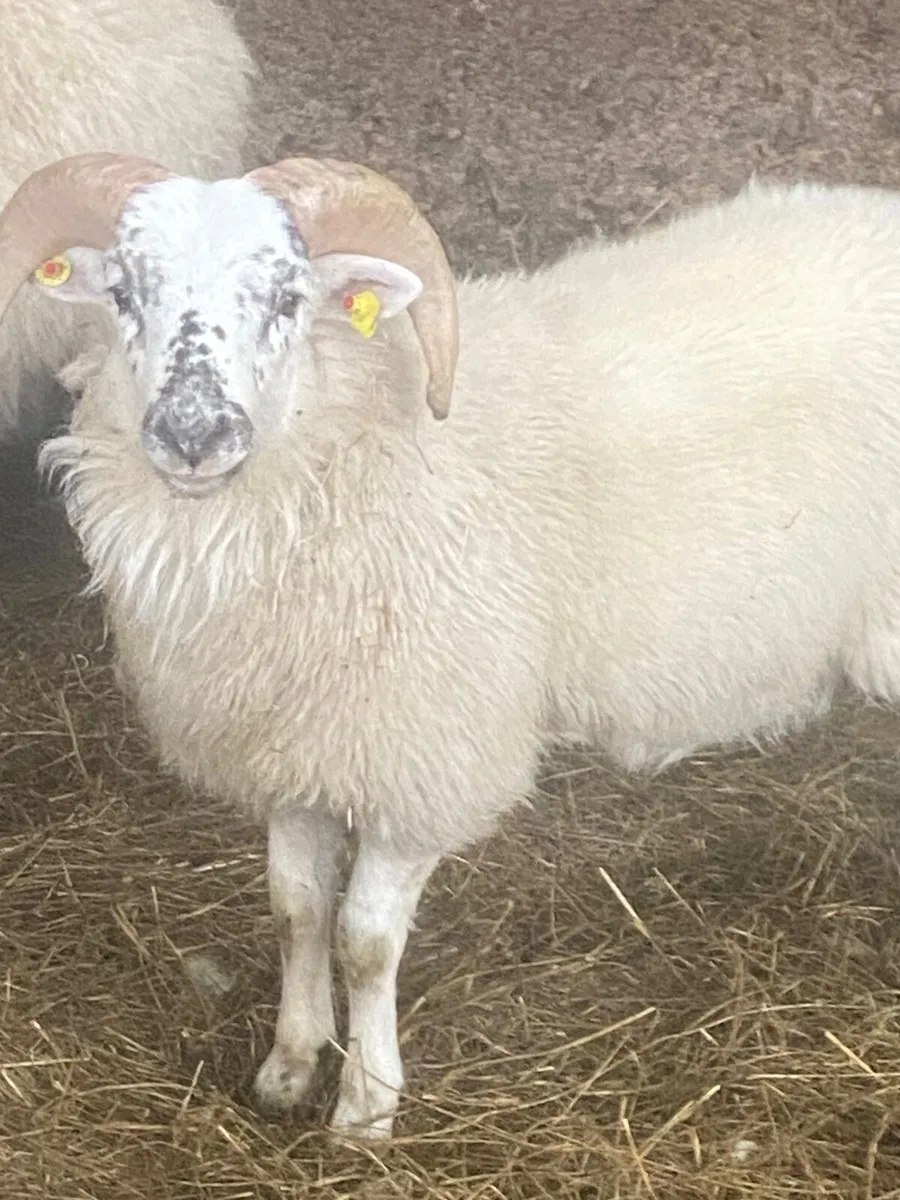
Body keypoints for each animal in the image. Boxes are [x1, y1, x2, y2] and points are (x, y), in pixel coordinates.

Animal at [1, 152, 900, 1139]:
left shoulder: (421, 758)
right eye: (124, 291)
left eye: (287, 296)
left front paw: (365, 1106)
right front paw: (289, 1064)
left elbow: (363, 939)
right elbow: (295, 909)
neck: (349, 450)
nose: (194, 434)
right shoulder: (295, 746)